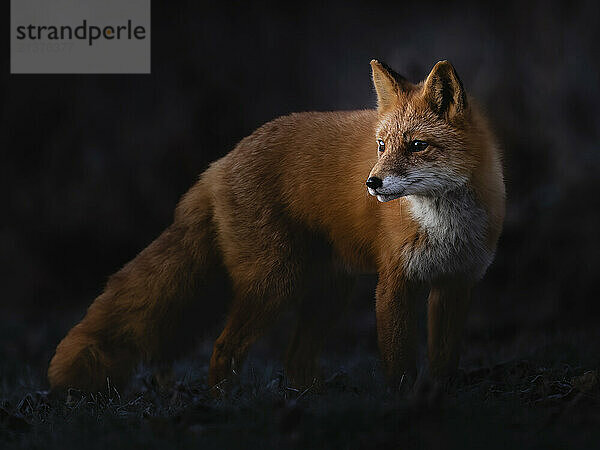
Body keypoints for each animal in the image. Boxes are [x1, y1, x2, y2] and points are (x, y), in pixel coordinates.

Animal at [49, 59, 504, 390]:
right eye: (381, 146)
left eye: (417, 145)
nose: (371, 183)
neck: (447, 227)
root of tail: (220, 163)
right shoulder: (395, 282)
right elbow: (399, 363)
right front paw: (403, 402)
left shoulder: (456, 284)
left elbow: (444, 362)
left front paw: (438, 400)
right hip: (275, 283)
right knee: (224, 347)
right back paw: (223, 406)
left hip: (328, 293)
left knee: (295, 359)